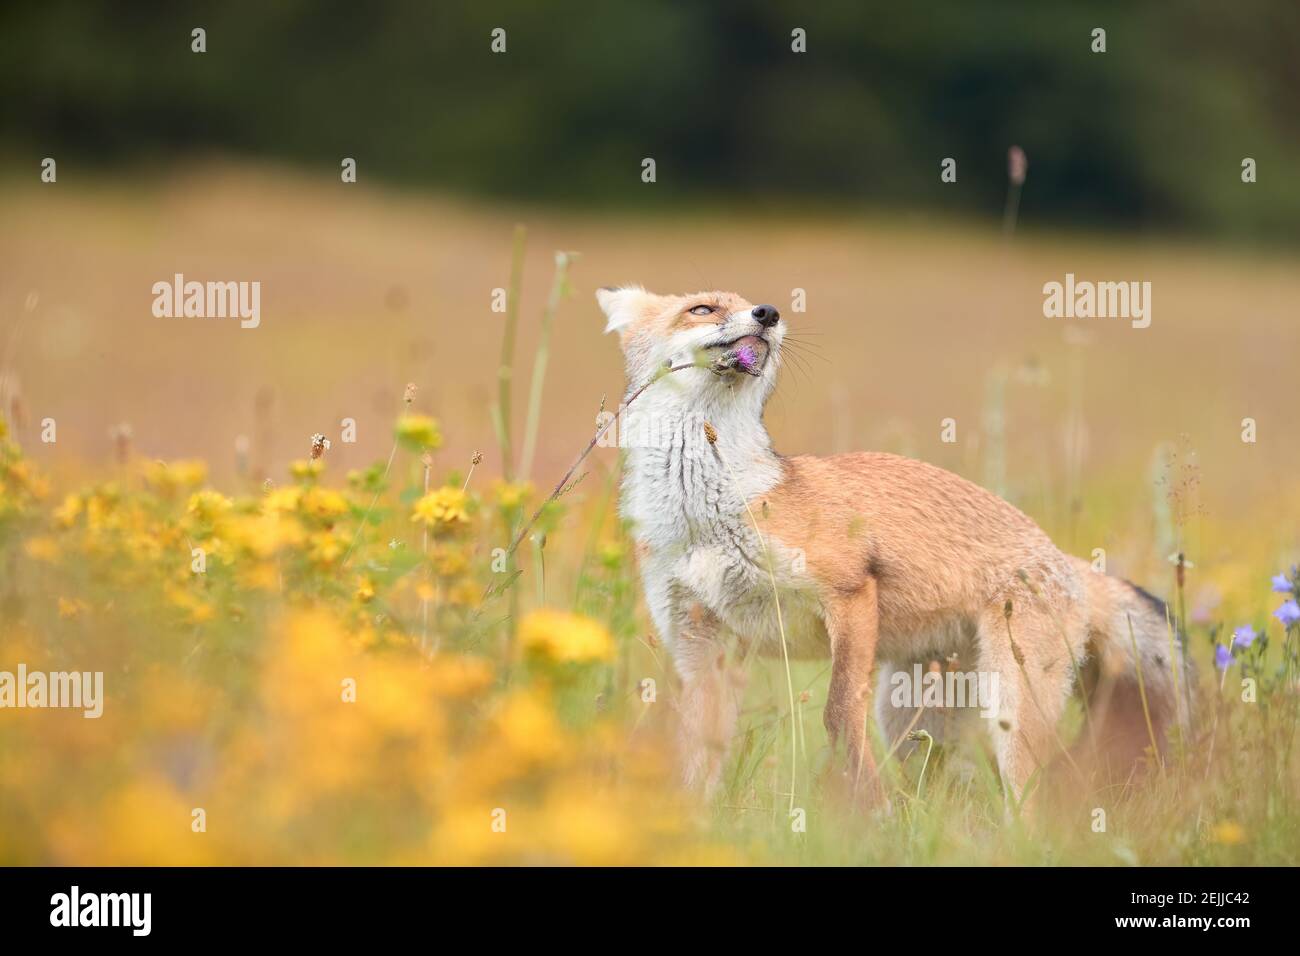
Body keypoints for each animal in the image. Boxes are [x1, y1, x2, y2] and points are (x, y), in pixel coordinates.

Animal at [595, 283, 1190, 806]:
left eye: (754, 305)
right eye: (702, 308)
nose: (769, 313)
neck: (705, 514)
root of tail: (1065, 559)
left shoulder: (850, 592)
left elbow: (838, 715)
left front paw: (862, 806)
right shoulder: (702, 642)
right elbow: (697, 755)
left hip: (1008, 709)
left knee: (1032, 796)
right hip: (911, 717)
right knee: (943, 791)